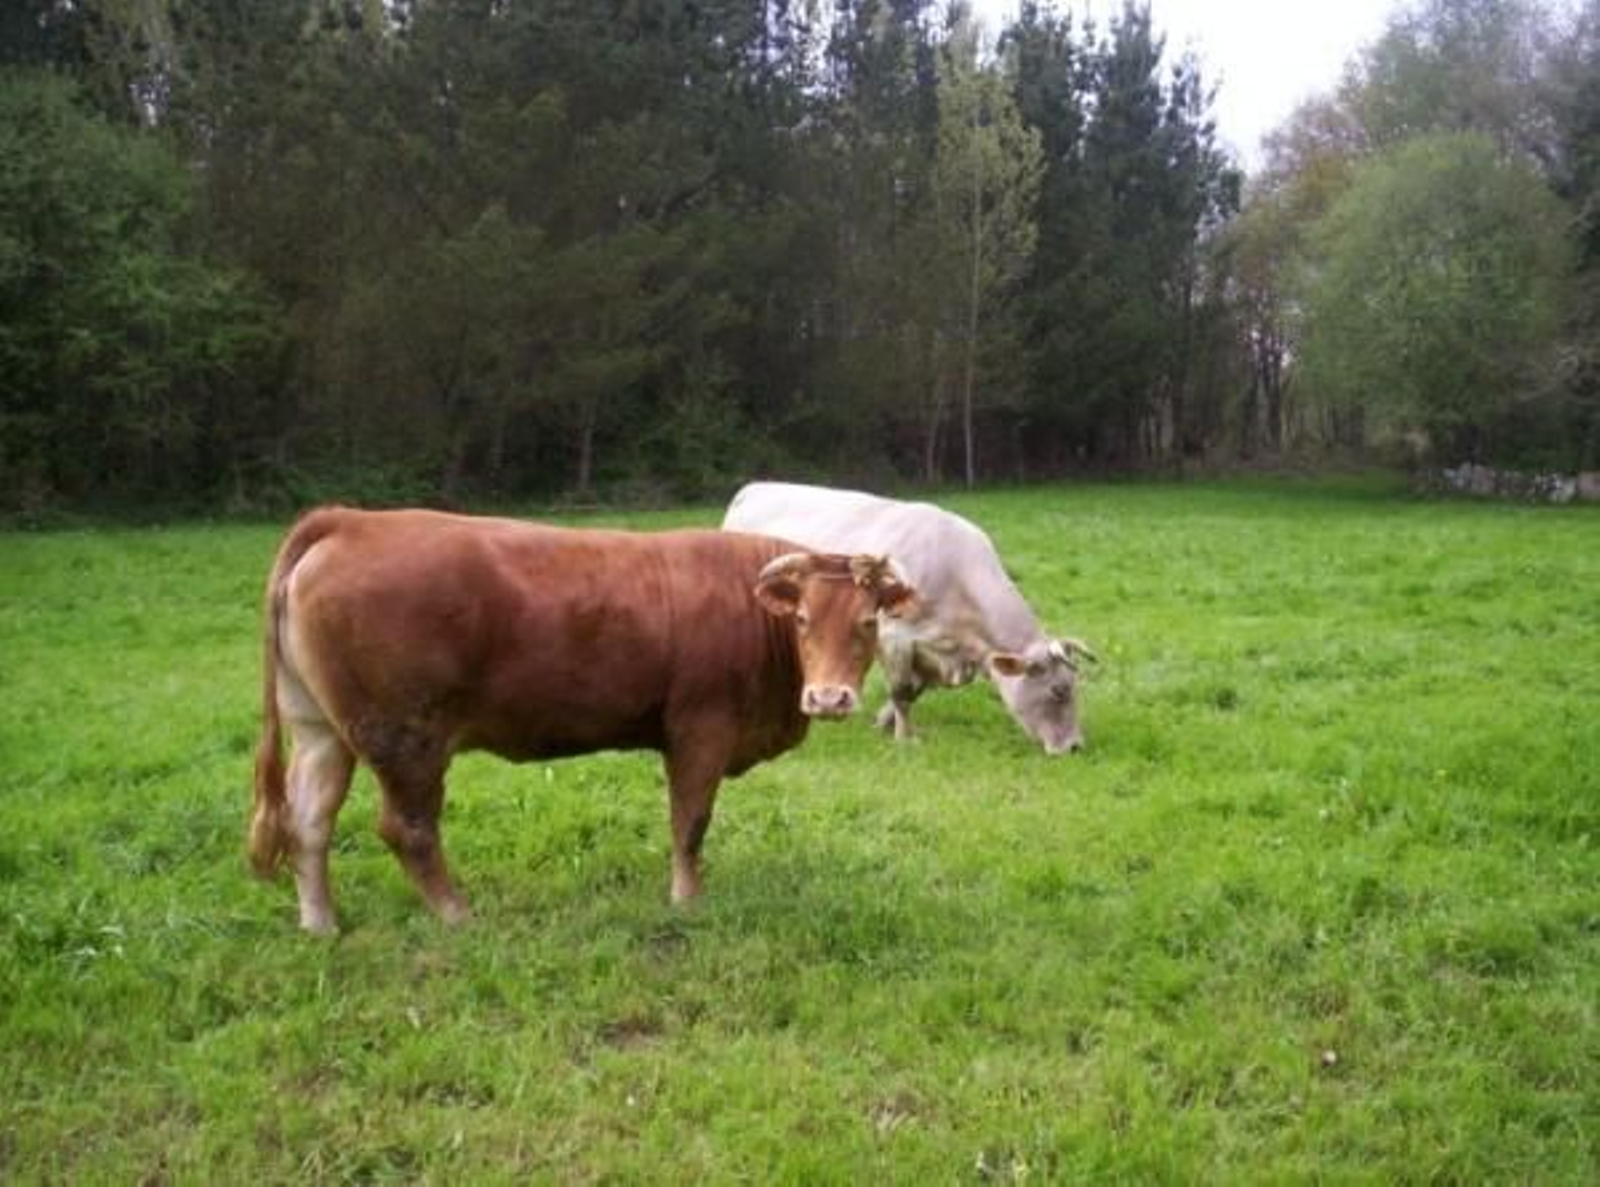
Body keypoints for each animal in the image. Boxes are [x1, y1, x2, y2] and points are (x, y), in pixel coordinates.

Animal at [249, 506, 917, 933]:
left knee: (308, 821)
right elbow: (690, 823)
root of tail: (350, 519)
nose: (829, 698)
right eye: (802, 619)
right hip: (406, 739)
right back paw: (458, 916)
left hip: (321, 731)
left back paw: (321, 925)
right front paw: (687, 902)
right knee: (407, 830)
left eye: (868, 621)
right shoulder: (701, 729)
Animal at [723, 482, 1095, 755]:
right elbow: (902, 690)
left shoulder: (933, 649)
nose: (1075, 747)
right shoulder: (895, 636)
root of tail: (754, 487)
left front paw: (884, 722)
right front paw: (905, 738)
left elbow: (912, 691)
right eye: (1059, 690)